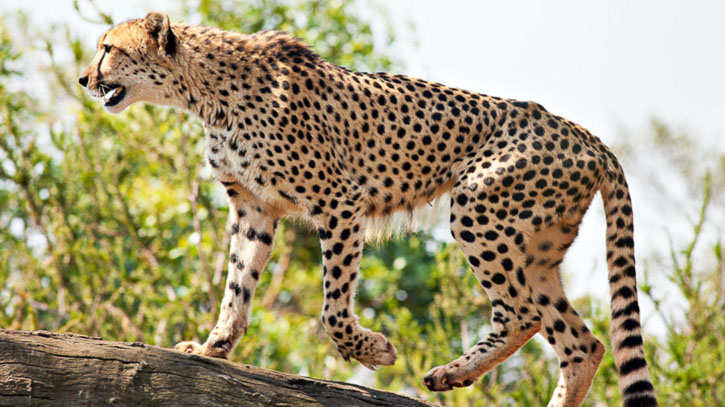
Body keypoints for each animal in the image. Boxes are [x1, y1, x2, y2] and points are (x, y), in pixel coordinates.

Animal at [79, 11, 656, 406]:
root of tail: (586, 135)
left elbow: (333, 307)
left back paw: (451, 372)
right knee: (583, 344)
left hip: (478, 210)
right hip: (534, 249)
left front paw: (372, 350)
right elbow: (236, 287)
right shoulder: (254, 209)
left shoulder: (338, 202)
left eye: (108, 48)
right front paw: (212, 347)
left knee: (524, 314)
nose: (84, 79)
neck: (206, 91)